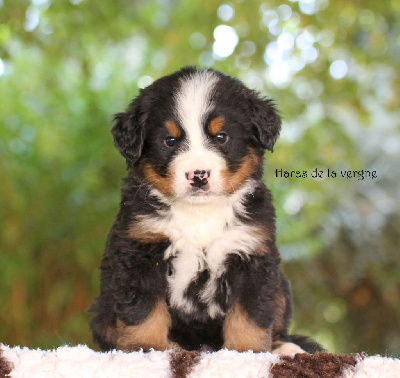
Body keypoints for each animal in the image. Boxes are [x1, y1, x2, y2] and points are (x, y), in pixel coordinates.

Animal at [89, 65, 324, 354]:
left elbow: (250, 314)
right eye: (169, 141)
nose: (198, 175)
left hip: (281, 286)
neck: (200, 214)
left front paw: (247, 352)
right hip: (103, 306)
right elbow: (143, 309)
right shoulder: (139, 250)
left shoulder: (252, 254)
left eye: (221, 137)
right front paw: (146, 347)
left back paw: (286, 348)